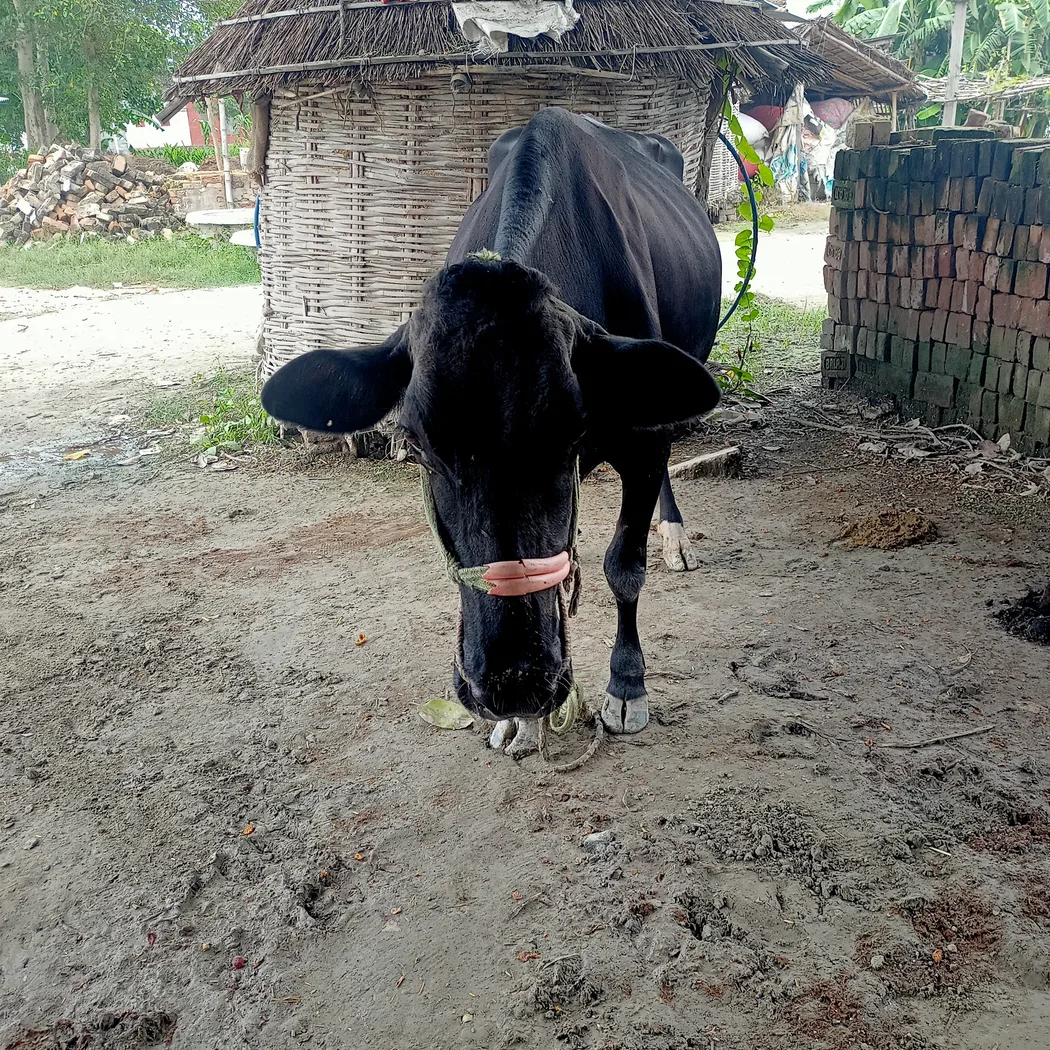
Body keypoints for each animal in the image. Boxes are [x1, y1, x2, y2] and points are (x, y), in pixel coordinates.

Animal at [261, 107, 722, 756]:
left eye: (572, 434)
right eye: (418, 445)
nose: (514, 682)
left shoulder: (642, 441)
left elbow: (624, 566)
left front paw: (627, 685)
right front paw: (522, 724)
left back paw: (674, 535)